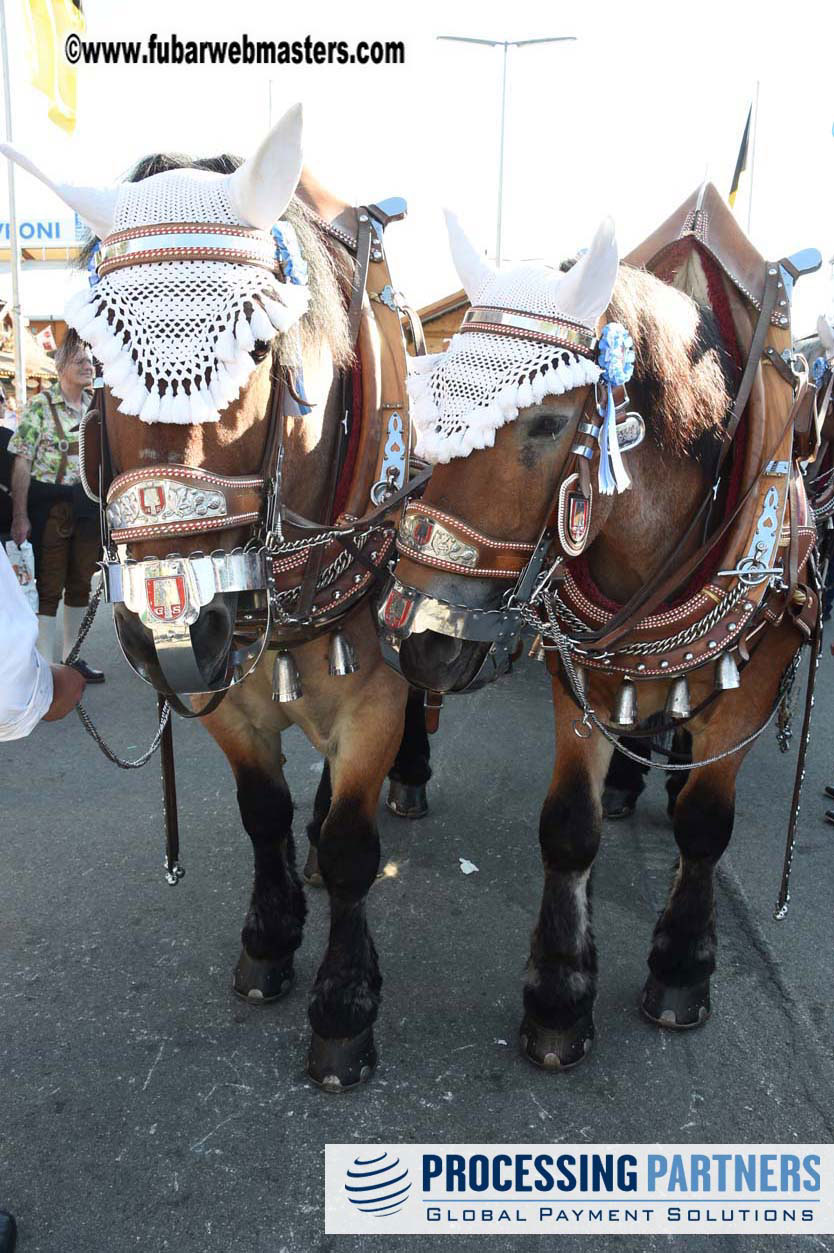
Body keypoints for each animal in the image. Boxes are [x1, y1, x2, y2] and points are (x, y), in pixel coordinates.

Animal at [6, 110, 430, 1087]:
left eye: (261, 349)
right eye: (95, 359)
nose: (171, 618)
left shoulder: (375, 688)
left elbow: (353, 849)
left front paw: (345, 1004)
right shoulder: (226, 700)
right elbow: (262, 811)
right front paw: (270, 938)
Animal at [385, 200, 816, 1072]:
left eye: (549, 421)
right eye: (433, 404)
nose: (423, 636)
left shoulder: (754, 685)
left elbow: (705, 826)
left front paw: (681, 968)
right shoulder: (577, 669)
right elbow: (567, 828)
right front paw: (558, 995)